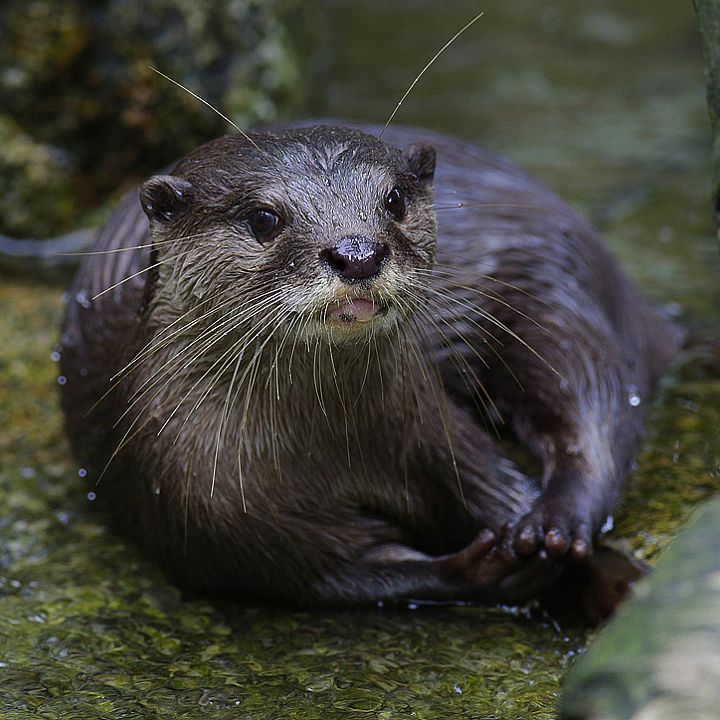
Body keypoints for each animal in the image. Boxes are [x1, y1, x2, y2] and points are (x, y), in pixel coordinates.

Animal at [57, 123, 679, 605]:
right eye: (263, 218)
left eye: (395, 200)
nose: (357, 253)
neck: (336, 445)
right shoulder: (213, 517)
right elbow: (338, 573)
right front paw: (478, 569)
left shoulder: (436, 434)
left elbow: (503, 490)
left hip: (554, 288)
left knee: (591, 389)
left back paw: (555, 519)